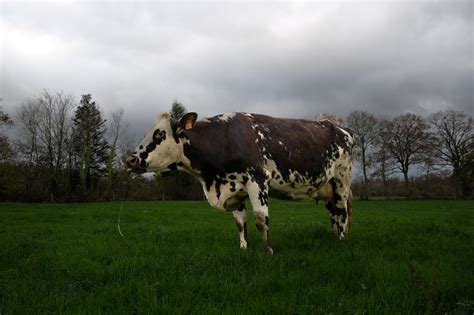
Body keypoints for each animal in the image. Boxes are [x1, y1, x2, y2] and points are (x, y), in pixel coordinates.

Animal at [128, 112, 354, 256]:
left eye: (159, 134)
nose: (131, 159)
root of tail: (342, 128)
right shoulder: (234, 189)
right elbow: (240, 223)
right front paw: (244, 248)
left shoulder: (258, 180)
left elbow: (261, 220)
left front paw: (268, 251)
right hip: (327, 186)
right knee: (334, 212)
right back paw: (335, 236)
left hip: (342, 179)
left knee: (342, 210)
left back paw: (342, 240)